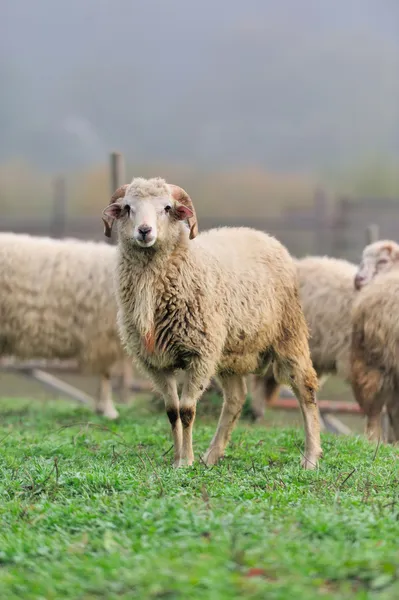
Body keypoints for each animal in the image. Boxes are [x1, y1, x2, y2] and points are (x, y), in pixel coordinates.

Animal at [102, 177, 322, 468]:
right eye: (128, 207)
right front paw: (177, 458)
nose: (145, 231)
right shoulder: (155, 362)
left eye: (167, 207)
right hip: (229, 352)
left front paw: (186, 461)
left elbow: (186, 410)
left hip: (289, 334)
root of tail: (265, 236)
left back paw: (311, 458)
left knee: (305, 389)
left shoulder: (200, 354)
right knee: (236, 398)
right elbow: (171, 411)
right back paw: (212, 455)